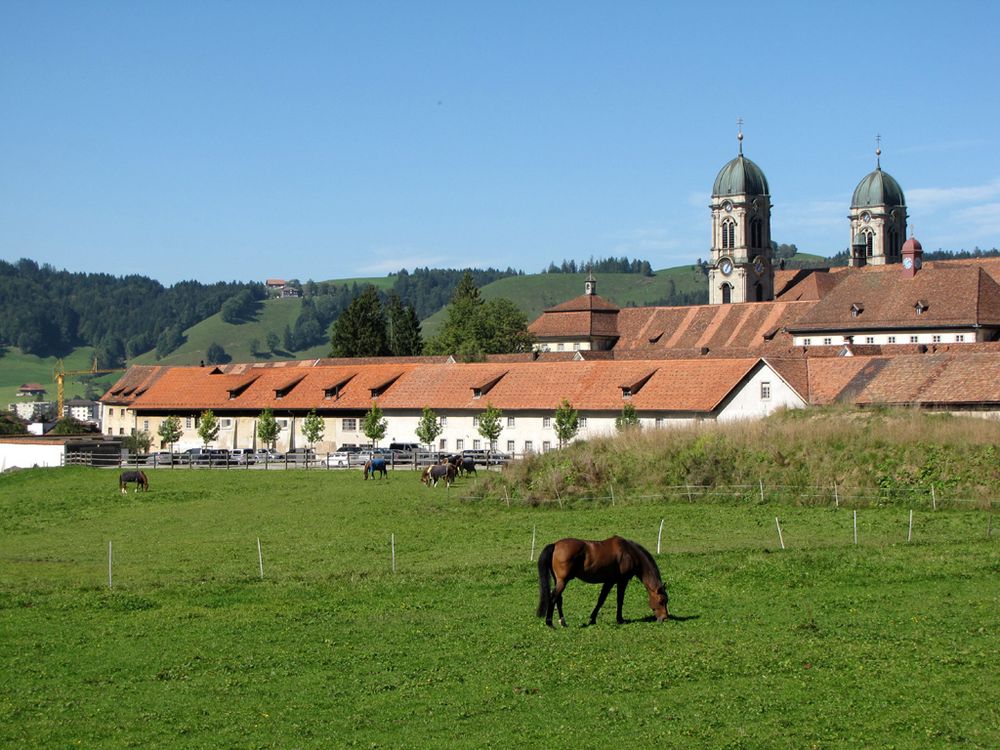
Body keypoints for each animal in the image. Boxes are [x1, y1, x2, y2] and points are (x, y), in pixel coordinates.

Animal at [536, 536, 668, 628]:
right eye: (661, 601)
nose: (665, 618)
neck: (629, 553)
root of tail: (555, 545)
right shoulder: (621, 581)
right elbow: (618, 600)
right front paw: (620, 619)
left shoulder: (609, 581)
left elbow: (601, 600)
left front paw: (592, 619)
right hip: (562, 581)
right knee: (553, 598)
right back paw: (549, 623)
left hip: (559, 581)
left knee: (558, 599)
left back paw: (563, 622)